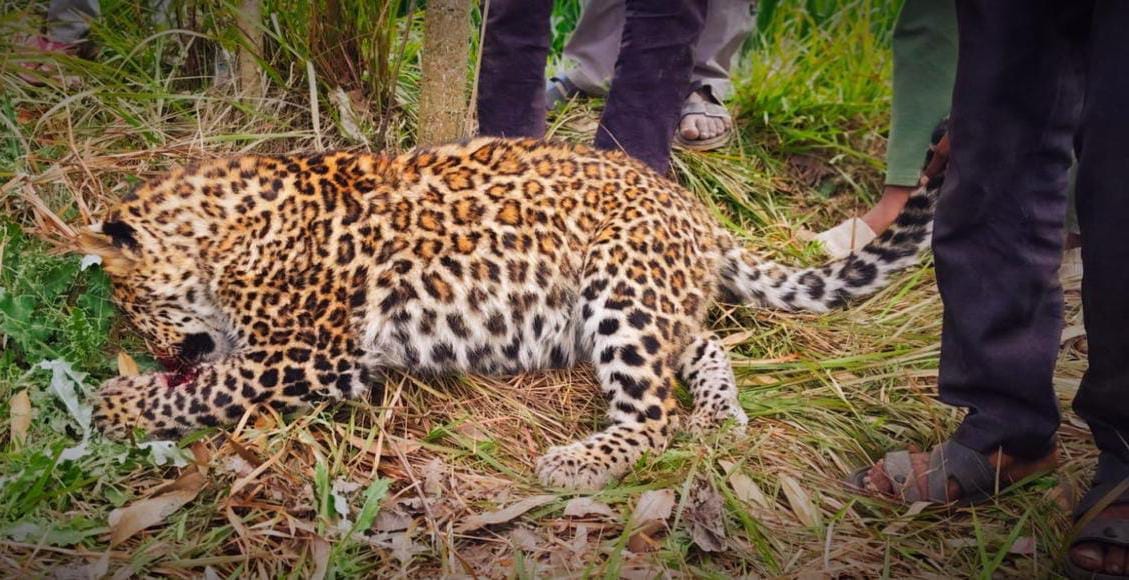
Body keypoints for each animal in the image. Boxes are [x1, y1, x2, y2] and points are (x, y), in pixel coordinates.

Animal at [80, 137, 939, 490]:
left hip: (618, 285)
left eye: (134, 306)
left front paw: (113, 404)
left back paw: (577, 464)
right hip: (642, 301)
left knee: (652, 413)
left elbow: (211, 385)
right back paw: (720, 416)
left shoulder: (311, 352)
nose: (154, 347)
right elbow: (211, 376)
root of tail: (700, 215)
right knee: (704, 345)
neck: (222, 232)